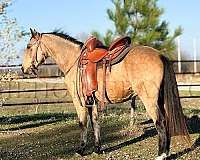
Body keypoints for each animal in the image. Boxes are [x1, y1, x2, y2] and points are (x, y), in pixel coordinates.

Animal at [21, 29, 191, 160]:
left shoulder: (79, 101)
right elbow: (95, 122)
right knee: (165, 122)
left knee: (160, 122)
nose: (23, 68)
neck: (74, 61)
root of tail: (160, 56)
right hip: (160, 100)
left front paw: (81, 150)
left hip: (149, 100)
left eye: (29, 46)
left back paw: (161, 155)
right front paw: (98, 149)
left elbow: (83, 123)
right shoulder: (93, 100)